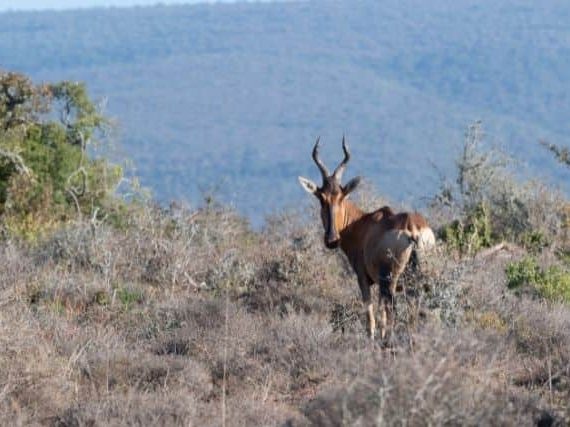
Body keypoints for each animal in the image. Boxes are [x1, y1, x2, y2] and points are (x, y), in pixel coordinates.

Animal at [296, 137, 432, 342]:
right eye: (322, 198)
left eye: (341, 197)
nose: (331, 240)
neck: (363, 224)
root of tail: (412, 228)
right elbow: (381, 314)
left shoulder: (363, 278)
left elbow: (370, 315)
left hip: (390, 280)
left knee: (393, 308)